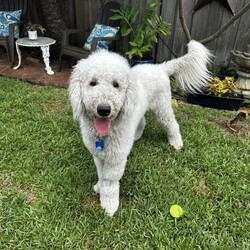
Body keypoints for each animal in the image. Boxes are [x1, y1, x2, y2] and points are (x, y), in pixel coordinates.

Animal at [69, 40, 212, 216]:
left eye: (116, 84)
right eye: (92, 83)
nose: (103, 109)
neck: (103, 135)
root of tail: (161, 67)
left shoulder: (115, 157)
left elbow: (109, 181)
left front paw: (109, 204)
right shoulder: (98, 155)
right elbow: (101, 175)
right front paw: (99, 187)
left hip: (162, 107)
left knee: (172, 124)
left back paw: (176, 142)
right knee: (142, 121)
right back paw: (136, 136)